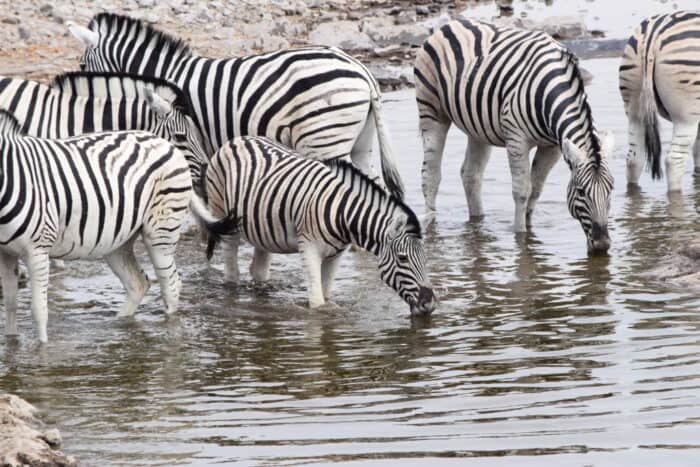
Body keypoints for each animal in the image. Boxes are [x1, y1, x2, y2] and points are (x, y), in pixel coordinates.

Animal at [0, 110, 238, 343]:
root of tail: (165, 144)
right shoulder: (6, 253)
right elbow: (10, 305)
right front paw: (12, 343)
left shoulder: (38, 249)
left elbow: (38, 310)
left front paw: (42, 350)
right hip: (118, 241)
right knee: (138, 283)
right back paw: (119, 324)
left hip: (161, 230)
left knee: (170, 284)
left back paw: (169, 331)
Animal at [203, 136, 435, 315]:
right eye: (403, 258)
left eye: (425, 258)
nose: (430, 304)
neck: (343, 212)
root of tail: (236, 140)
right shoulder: (309, 249)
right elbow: (317, 303)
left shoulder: (336, 256)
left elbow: (326, 296)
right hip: (223, 214)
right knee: (231, 269)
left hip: (262, 230)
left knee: (258, 270)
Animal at [414, 18, 615, 254]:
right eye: (582, 192)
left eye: (611, 190)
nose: (602, 244)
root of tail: (450, 24)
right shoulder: (517, 140)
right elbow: (521, 191)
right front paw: (520, 236)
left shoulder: (552, 147)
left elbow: (535, 189)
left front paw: (530, 231)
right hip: (431, 110)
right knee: (430, 175)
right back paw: (431, 225)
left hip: (477, 128)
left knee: (471, 175)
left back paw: (478, 222)